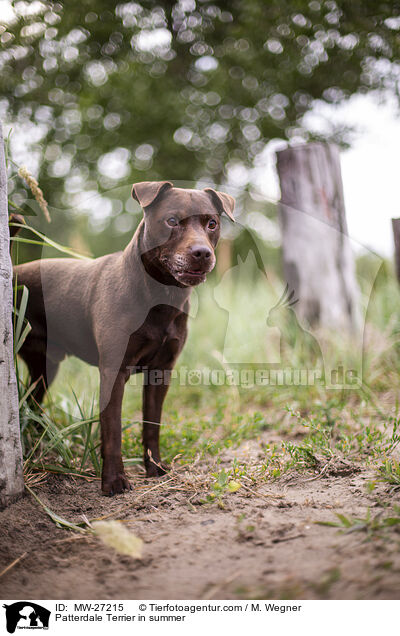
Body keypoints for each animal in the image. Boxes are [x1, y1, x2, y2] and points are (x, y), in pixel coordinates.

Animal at [14, 181, 234, 494]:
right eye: (171, 220)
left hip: (44, 368)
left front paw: (154, 468)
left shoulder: (160, 372)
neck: (159, 297)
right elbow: (113, 429)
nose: (202, 252)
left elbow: (151, 425)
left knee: (33, 405)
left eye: (212, 223)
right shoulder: (112, 371)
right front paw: (114, 481)